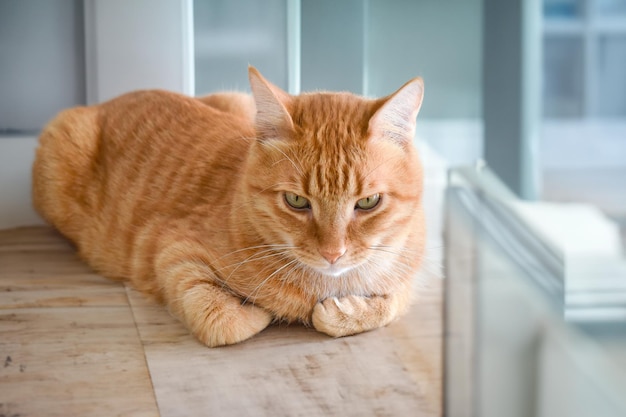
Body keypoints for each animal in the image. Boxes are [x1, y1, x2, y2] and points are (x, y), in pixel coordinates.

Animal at [30, 68, 424, 346]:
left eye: (368, 202)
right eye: (296, 201)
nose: (333, 253)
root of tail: (110, 100)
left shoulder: (406, 275)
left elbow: (392, 302)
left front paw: (342, 312)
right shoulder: (169, 253)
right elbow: (223, 320)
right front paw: (265, 312)